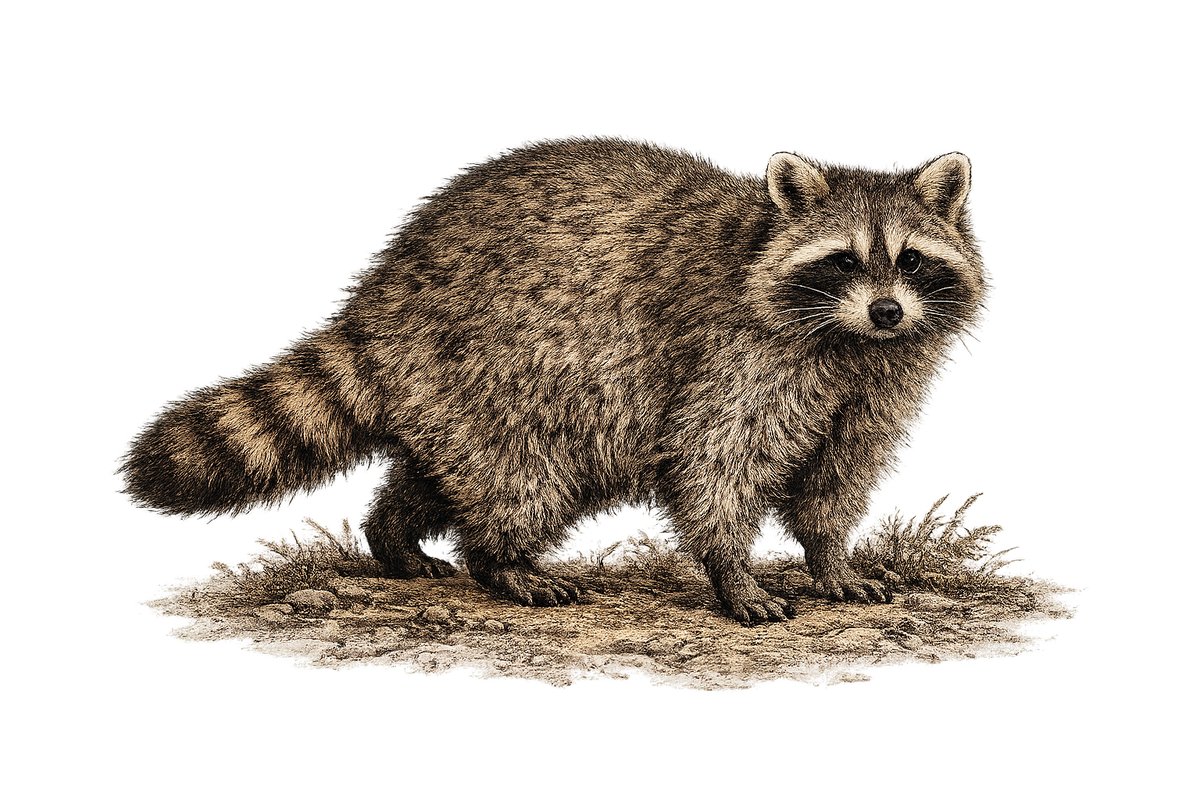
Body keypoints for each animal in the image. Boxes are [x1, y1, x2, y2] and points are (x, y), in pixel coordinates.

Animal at [110, 130, 993, 625]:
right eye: (842, 260)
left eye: (911, 260)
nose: (887, 310)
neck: (848, 342)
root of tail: (387, 291)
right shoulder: (736, 354)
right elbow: (713, 459)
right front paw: (733, 569)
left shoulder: (876, 386)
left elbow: (838, 476)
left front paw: (831, 556)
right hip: (505, 364)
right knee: (523, 477)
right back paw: (500, 560)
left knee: (442, 471)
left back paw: (397, 536)